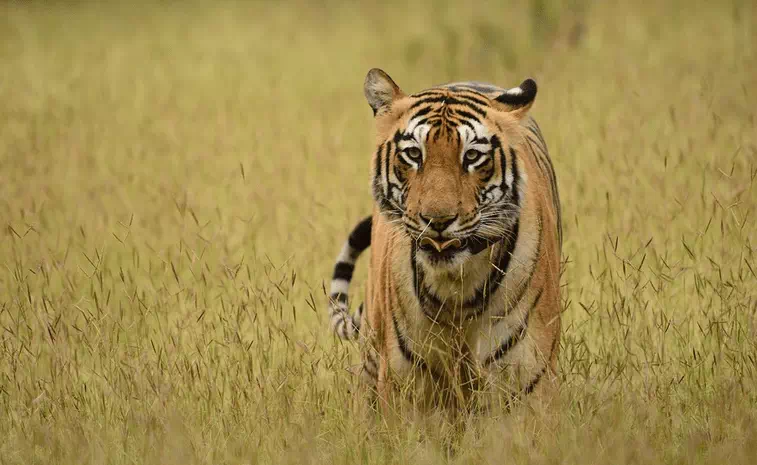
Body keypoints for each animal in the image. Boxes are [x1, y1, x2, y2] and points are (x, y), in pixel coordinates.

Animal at [324, 67, 560, 416]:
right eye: (413, 154)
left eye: (472, 156)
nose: (437, 221)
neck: (457, 289)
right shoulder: (405, 383)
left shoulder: (527, 378)